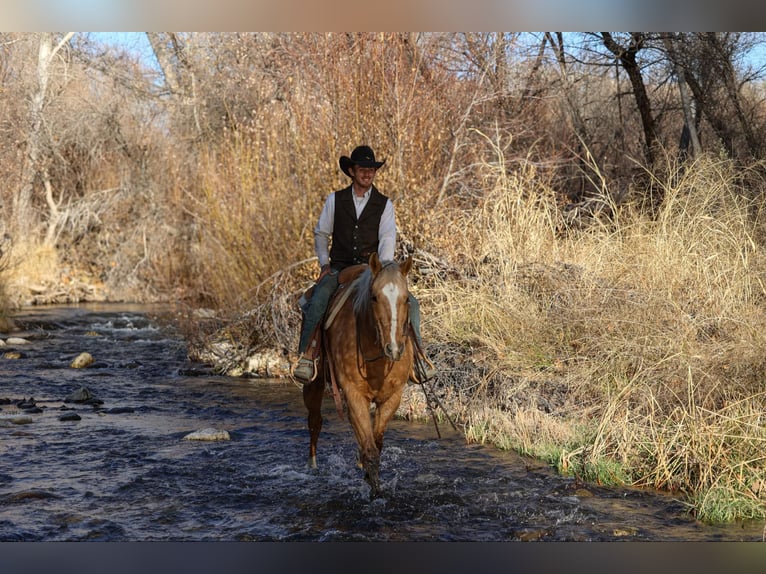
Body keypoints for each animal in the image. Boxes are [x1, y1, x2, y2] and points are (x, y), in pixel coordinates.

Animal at [301, 252, 415, 498]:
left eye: (406, 299)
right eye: (374, 297)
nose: (394, 348)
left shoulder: (392, 398)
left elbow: (376, 442)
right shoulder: (353, 396)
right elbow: (370, 450)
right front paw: (375, 493)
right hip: (314, 385)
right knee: (315, 421)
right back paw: (312, 466)